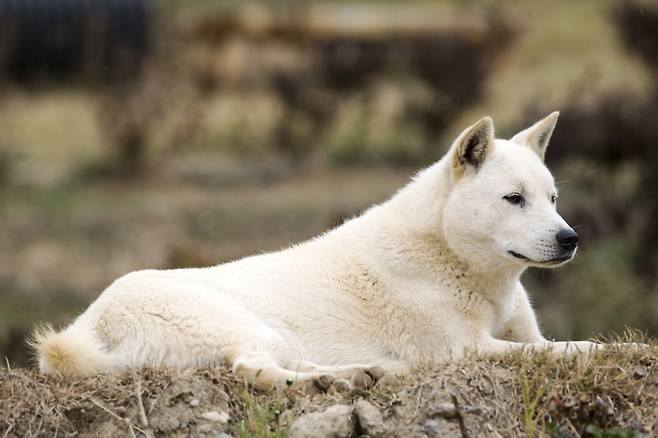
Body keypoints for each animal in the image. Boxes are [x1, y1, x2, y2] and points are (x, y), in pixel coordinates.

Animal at [34, 113, 608, 390]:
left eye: (552, 199)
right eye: (514, 199)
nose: (571, 239)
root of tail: (84, 325)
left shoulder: (521, 333)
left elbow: (554, 344)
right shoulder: (465, 350)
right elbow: (574, 349)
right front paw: (609, 350)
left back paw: (362, 373)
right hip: (246, 327)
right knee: (252, 370)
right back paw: (335, 380)